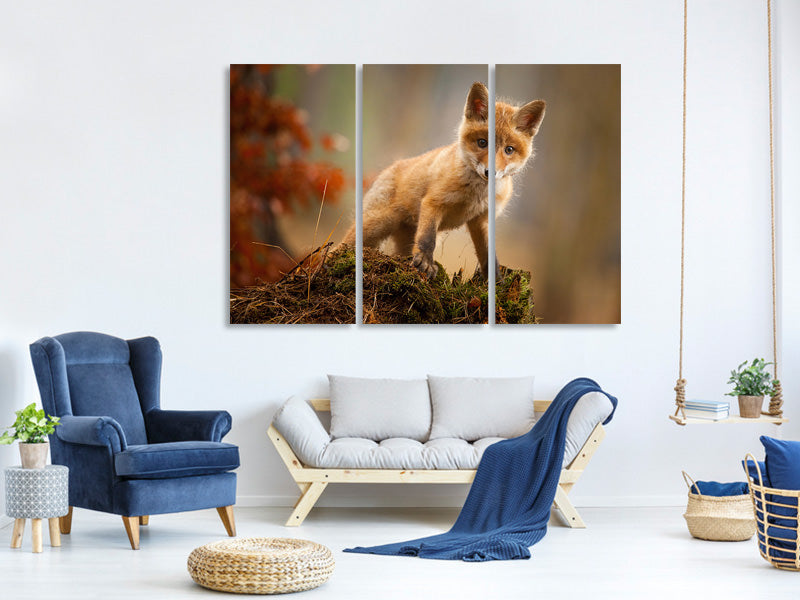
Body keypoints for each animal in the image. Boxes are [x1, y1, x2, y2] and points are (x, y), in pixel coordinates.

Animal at [341, 81, 545, 279]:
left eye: (509, 149)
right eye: (482, 143)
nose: (490, 172)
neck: (476, 194)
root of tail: (388, 169)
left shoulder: (482, 219)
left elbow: (488, 255)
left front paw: (494, 281)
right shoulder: (434, 203)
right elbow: (427, 239)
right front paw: (425, 263)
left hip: (402, 239)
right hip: (376, 224)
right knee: (344, 245)